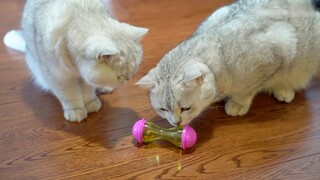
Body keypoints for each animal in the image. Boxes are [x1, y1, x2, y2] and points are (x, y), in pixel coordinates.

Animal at [6, 0, 148, 122]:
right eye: (119, 77)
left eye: (133, 71)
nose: (129, 78)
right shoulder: (59, 78)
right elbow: (70, 96)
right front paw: (76, 111)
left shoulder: (85, 79)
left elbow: (87, 92)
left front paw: (91, 103)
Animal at [136, 0, 320, 126]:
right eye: (163, 110)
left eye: (186, 108)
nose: (176, 123)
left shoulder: (278, 51)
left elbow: (249, 90)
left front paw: (238, 103)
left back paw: (283, 89)